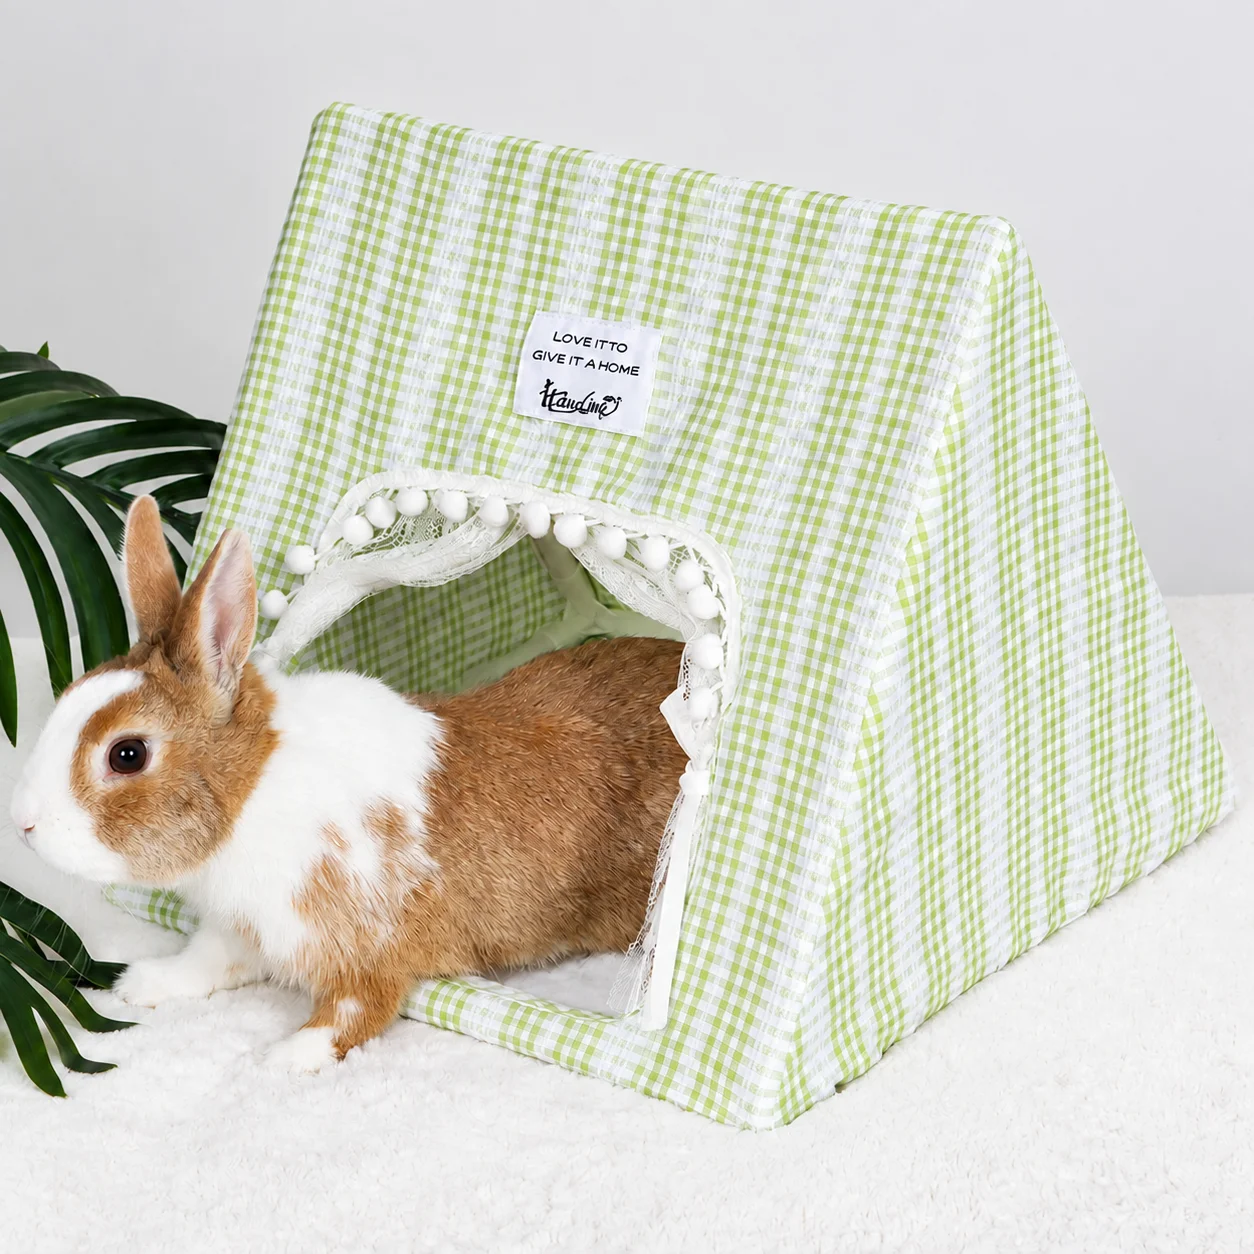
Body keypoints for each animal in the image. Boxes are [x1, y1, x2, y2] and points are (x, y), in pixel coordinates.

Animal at [10, 494, 686, 1072]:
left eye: (127, 754)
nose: (24, 824)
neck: (252, 789)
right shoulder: (246, 924)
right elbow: (208, 960)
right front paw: (144, 984)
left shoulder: (364, 943)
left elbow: (355, 1011)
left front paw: (283, 1058)